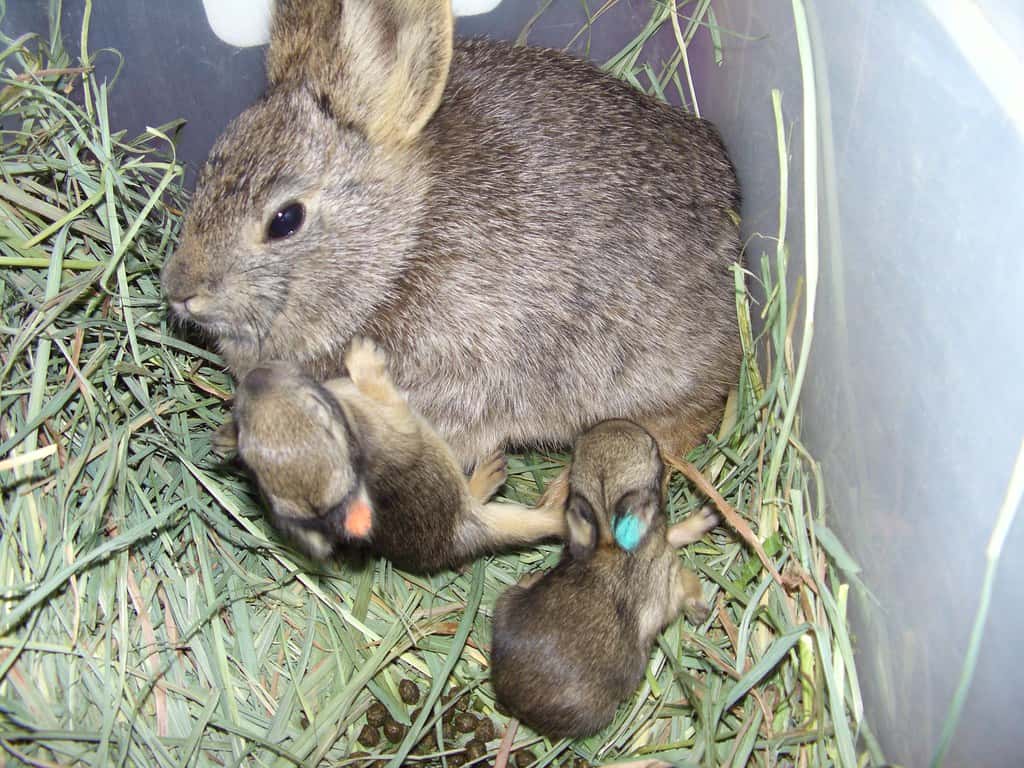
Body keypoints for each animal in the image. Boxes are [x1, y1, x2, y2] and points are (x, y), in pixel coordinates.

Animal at [223, 338, 568, 571]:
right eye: (320, 409)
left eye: (244, 429)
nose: (256, 375)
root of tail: (459, 542)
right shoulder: (399, 422)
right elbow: (387, 396)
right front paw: (363, 357)